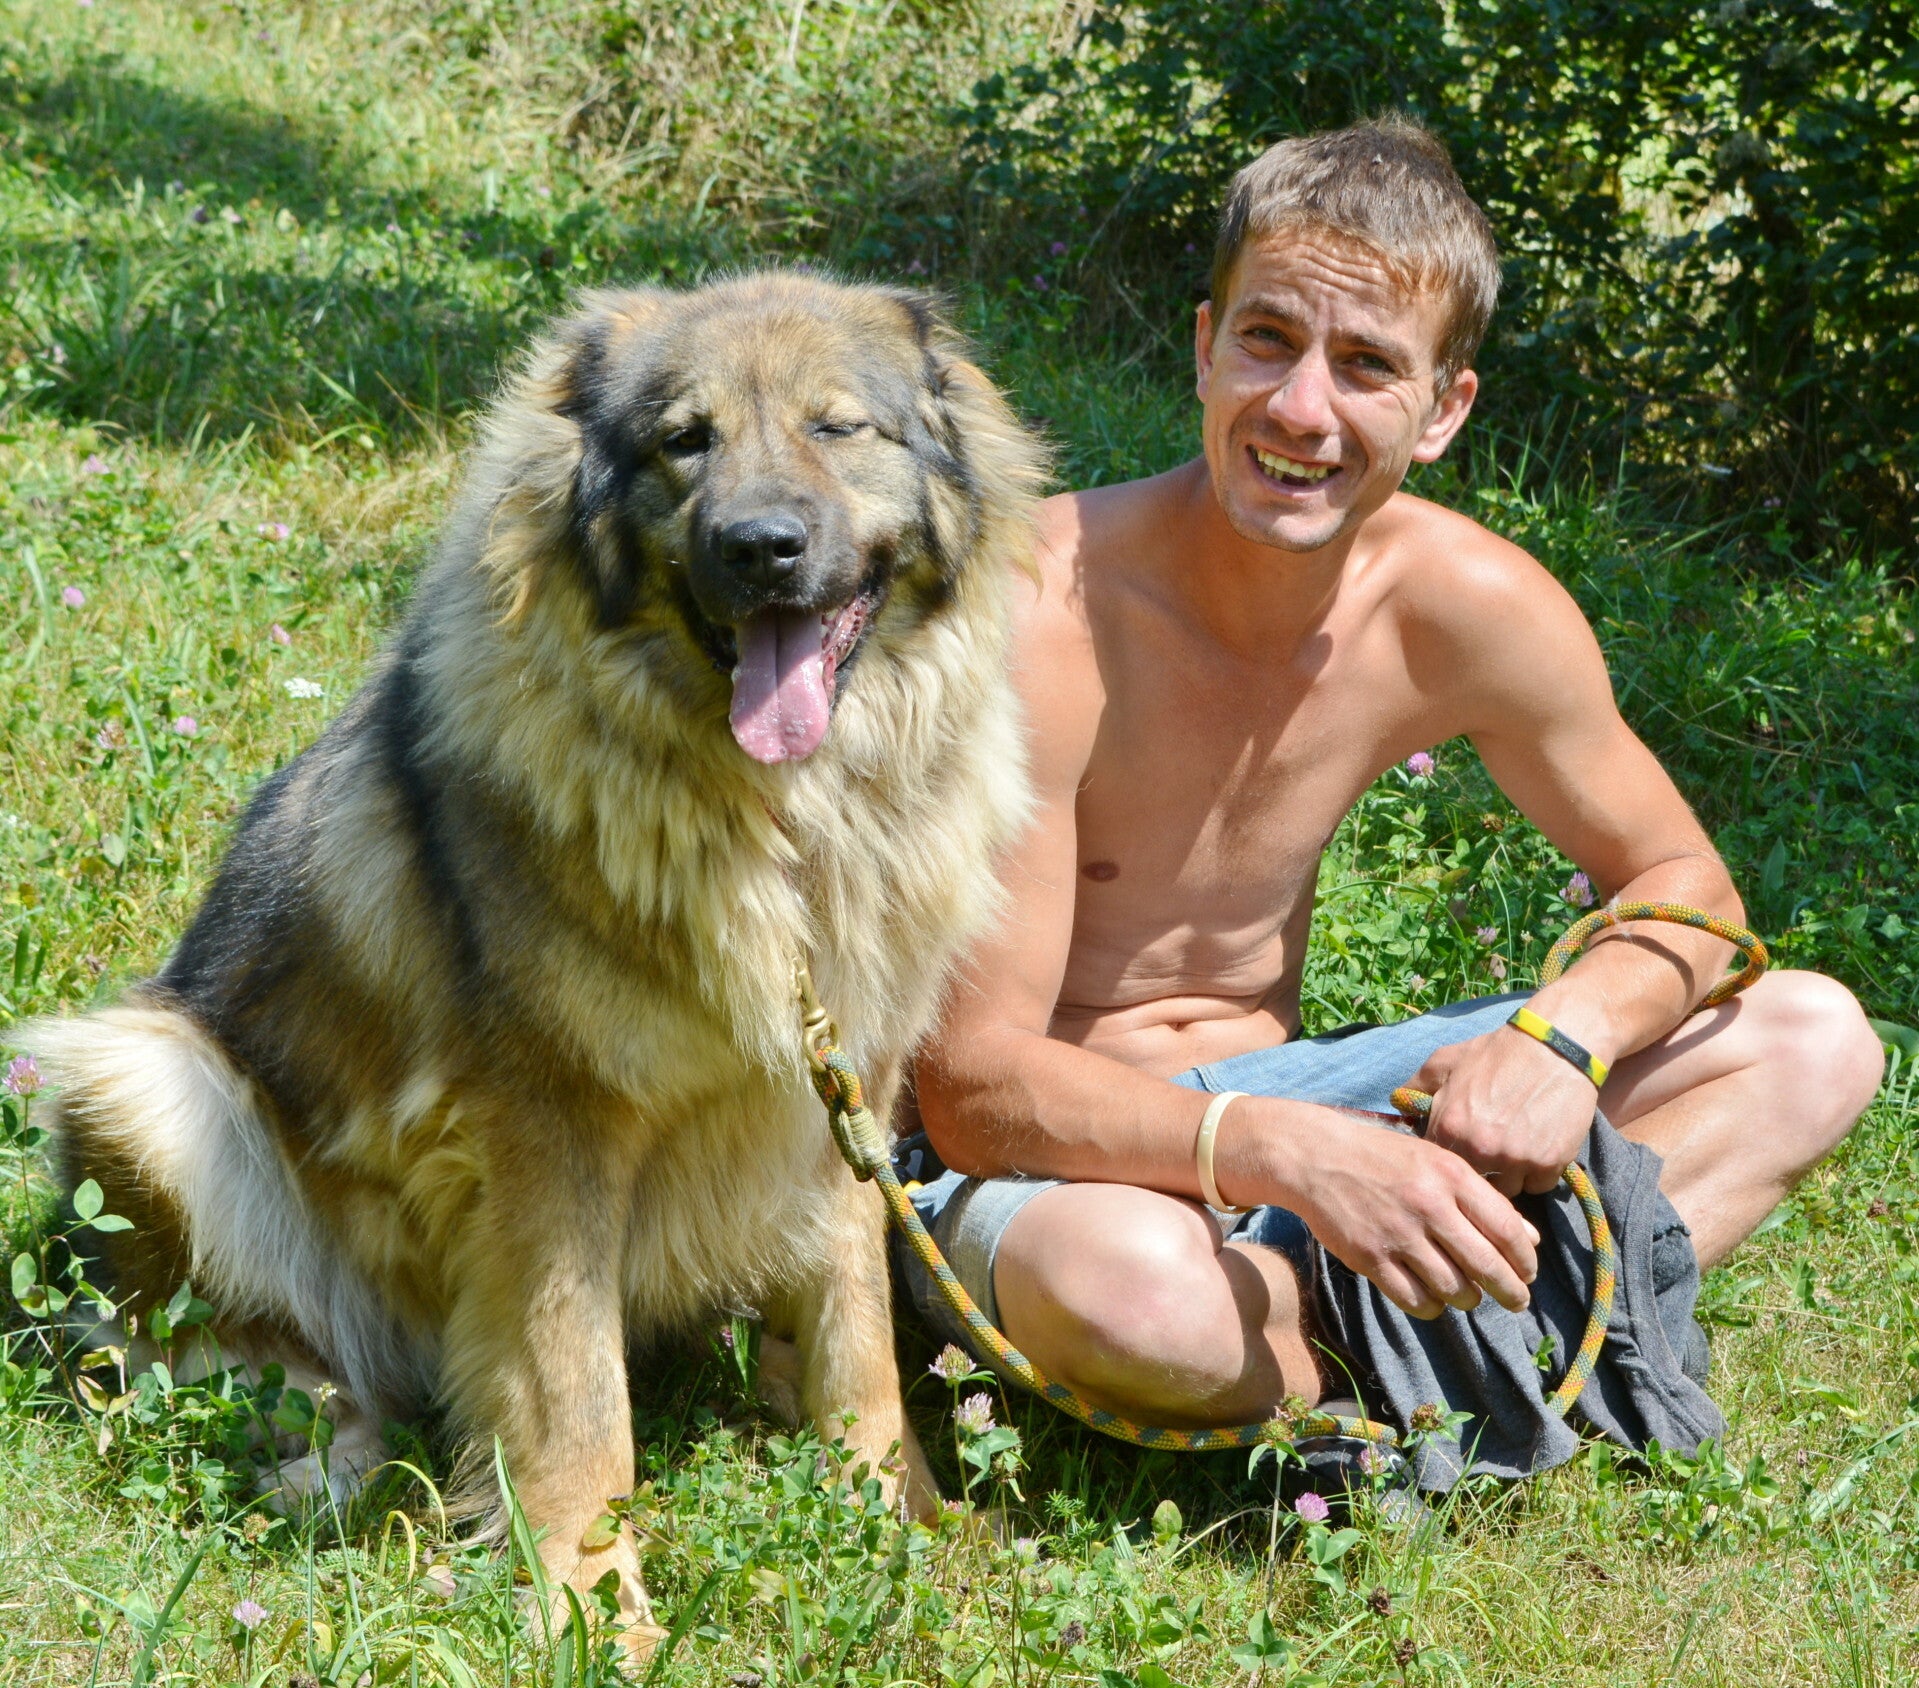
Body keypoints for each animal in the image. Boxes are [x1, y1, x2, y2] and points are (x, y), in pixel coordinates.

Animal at [29, 273, 1042, 1650]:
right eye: (684, 440)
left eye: (838, 429)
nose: (762, 545)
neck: (777, 825)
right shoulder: (549, 1137)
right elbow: (574, 1396)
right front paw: (588, 1593)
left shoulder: (843, 1102)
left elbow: (858, 1345)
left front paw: (897, 1520)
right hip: (143, 1072)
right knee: (217, 1343)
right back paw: (330, 1455)